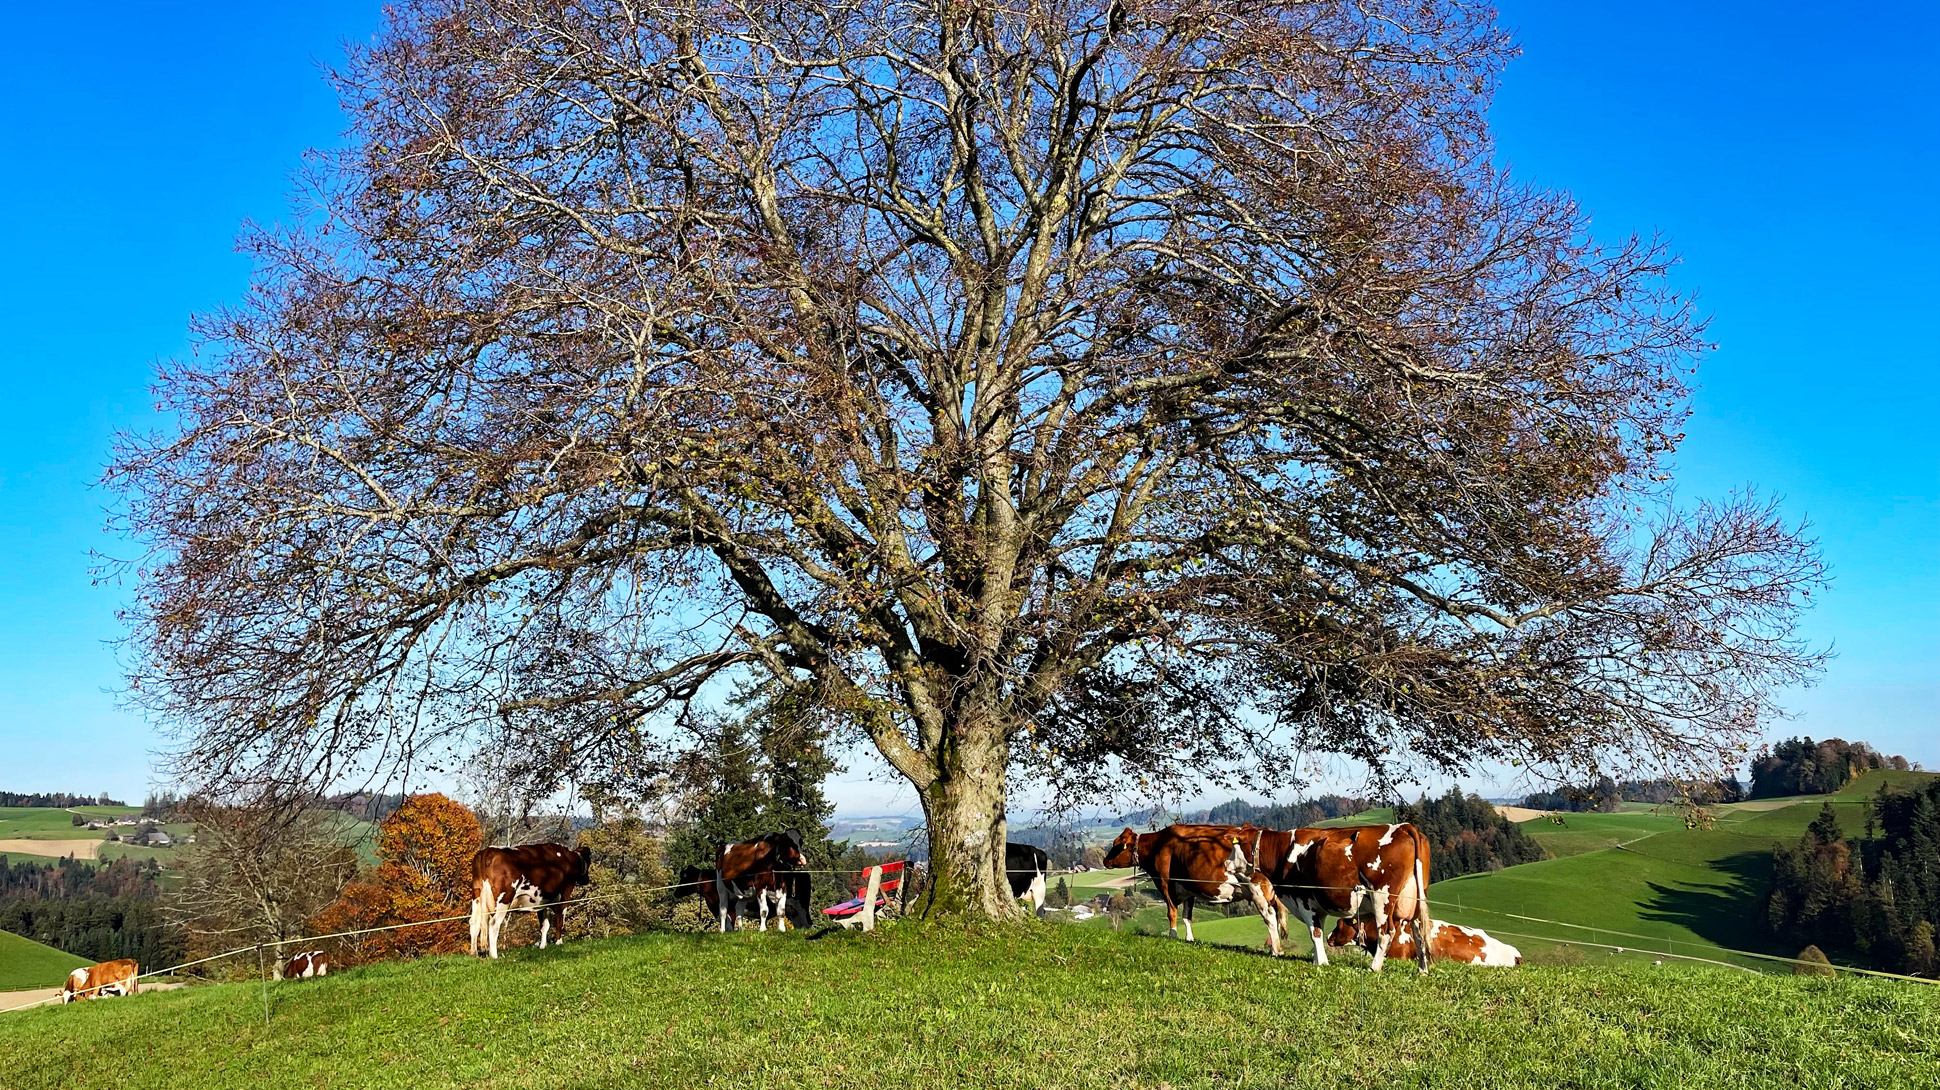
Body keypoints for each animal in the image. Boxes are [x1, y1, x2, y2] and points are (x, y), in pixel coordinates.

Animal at [1101, 822, 1280, 950]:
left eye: (1117, 844)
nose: (1104, 860)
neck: (1158, 844)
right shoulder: (1189, 889)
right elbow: (1187, 916)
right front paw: (1189, 939)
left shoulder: (1165, 884)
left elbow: (1172, 913)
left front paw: (1173, 936)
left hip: (1258, 890)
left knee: (1270, 918)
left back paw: (1275, 951)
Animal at [1249, 818, 1435, 969]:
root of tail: (1403, 827)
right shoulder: (1318, 905)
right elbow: (1318, 930)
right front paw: (1318, 960)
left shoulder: (1305, 899)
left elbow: (1314, 932)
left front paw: (1321, 963)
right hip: (1417, 898)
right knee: (1419, 932)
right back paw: (1422, 970)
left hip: (1382, 896)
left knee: (1386, 931)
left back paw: (1374, 967)